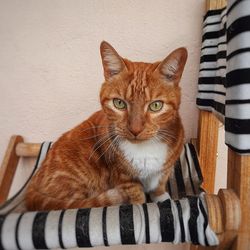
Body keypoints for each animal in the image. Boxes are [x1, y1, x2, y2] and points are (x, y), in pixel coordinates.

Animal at [24, 41, 188, 211]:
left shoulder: (165, 169)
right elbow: (137, 196)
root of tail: (32, 186)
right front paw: (141, 205)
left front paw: (162, 197)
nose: (135, 130)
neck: (144, 150)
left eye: (156, 106)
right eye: (119, 103)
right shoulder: (124, 178)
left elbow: (159, 185)